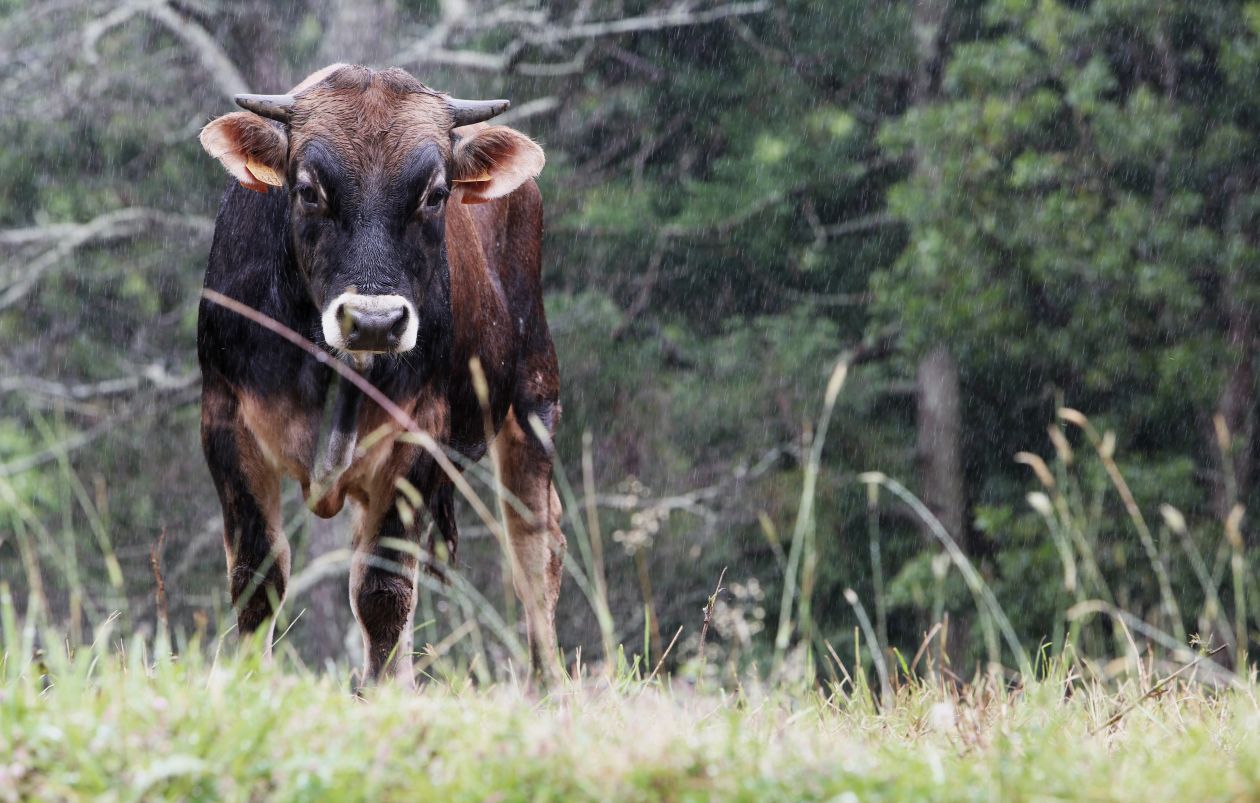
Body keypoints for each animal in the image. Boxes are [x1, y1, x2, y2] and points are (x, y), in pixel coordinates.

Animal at [195, 65, 567, 685]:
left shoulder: (420, 437)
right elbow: (257, 576)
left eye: (435, 195)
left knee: (535, 552)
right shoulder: (225, 421)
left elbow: (383, 590)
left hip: (534, 397)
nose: (373, 321)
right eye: (309, 189)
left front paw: (382, 693)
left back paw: (547, 686)